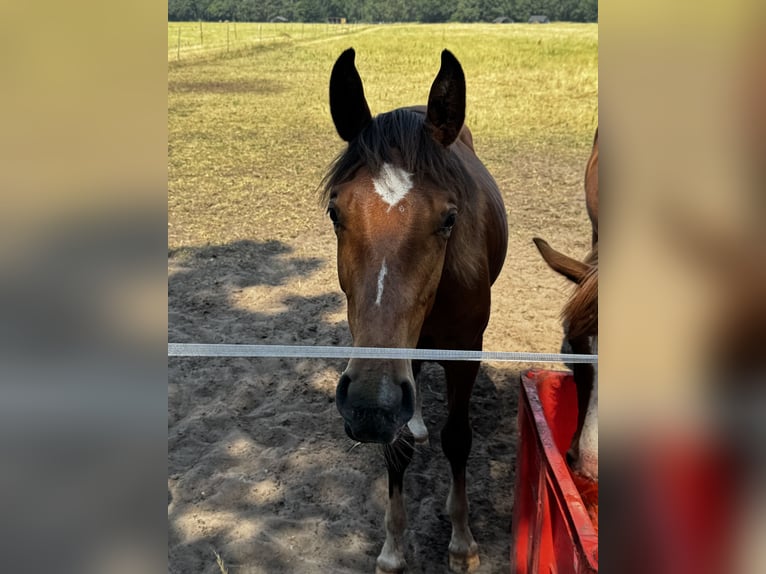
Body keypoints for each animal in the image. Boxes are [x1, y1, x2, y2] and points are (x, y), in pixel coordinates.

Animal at [321, 48, 508, 573]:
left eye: (449, 218)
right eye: (335, 212)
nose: (371, 405)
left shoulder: (466, 353)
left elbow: (458, 440)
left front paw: (462, 539)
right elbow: (397, 448)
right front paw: (392, 547)